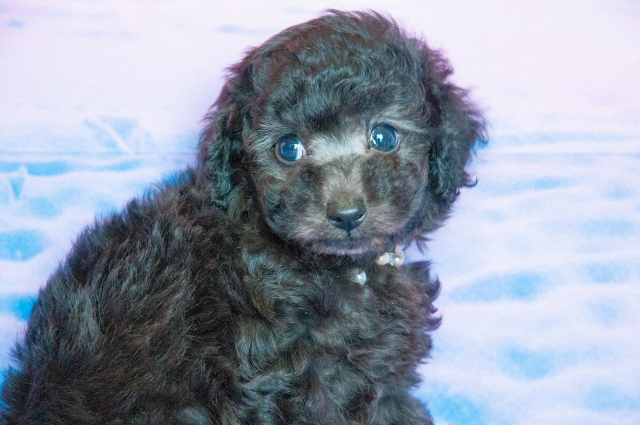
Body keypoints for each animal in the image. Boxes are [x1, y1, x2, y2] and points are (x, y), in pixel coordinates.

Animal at [1, 10, 485, 424]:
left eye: (383, 136)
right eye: (289, 148)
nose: (346, 214)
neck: (345, 271)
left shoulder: (378, 371)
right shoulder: (280, 375)